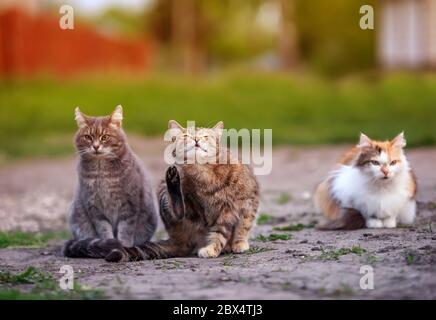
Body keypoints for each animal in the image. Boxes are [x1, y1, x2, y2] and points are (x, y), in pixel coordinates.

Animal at [61, 106, 157, 262]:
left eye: (104, 137)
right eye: (88, 137)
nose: (95, 146)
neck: (103, 173)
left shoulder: (129, 205)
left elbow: (125, 231)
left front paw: (124, 247)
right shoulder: (94, 207)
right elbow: (104, 230)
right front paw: (109, 245)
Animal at [108, 120, 258, 262]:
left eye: (205, 136)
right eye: (186, 136)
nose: (196, 139)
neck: (204, 171)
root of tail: (179, 241)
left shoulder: (245, 201)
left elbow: (242, 226)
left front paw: (237, 243)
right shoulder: (213, 211)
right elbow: (219, 232)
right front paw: (212, 248)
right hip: (165, 193)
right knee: (178, 210)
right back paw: (174, 184)